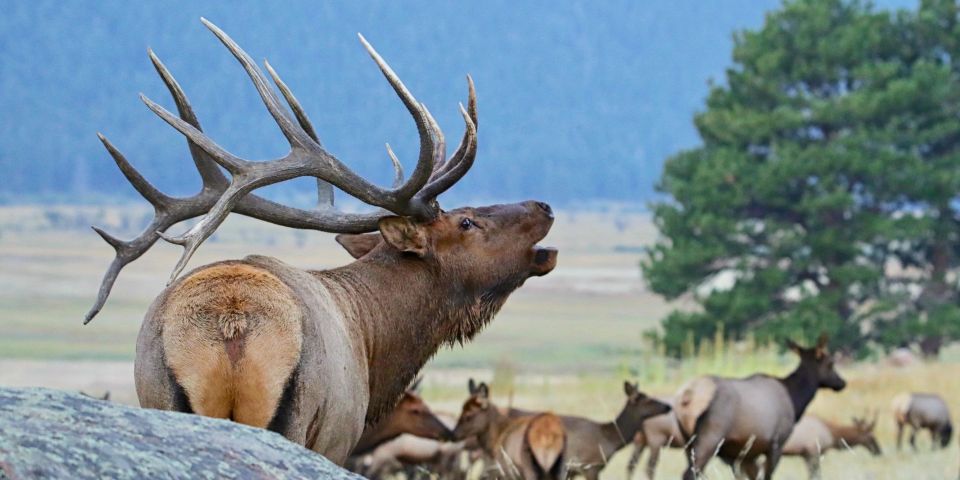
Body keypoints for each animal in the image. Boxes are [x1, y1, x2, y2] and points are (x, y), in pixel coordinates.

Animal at [89, 19, 560, 464]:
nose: (544, 206)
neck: (375, 343)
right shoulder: (339, 438)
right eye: (466, 222)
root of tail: (231, 322)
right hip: (296, 418)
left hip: (157, 392)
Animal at [672, 334, 844, 480]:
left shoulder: (743, 454)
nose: (842, 383)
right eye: (831, 363)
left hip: (687, 442)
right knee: (690, 473)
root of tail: (687, 396)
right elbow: (767, 475)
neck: (795, 401)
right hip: (711, 435)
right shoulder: (777, 443)